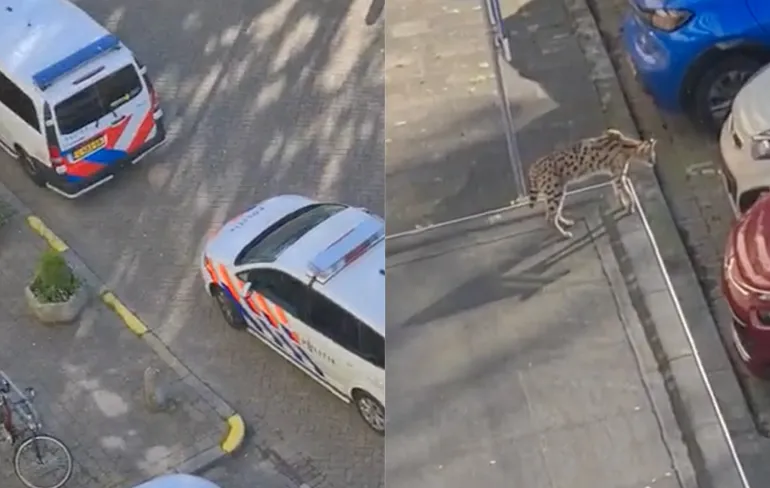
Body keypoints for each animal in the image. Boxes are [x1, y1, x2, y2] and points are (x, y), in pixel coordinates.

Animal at [527, 128, 658, 238]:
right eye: (651, 156)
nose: (654, 163)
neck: (626, 146)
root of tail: (533, 167)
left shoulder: (615, 176)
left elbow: (618, 192)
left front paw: (624, 205)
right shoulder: (619, 176)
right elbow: (628, 193)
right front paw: (630, 207)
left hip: (555, 192)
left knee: (553, 213)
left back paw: (566, 222)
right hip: (555, 193)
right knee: (549, 218)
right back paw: (563, 234)